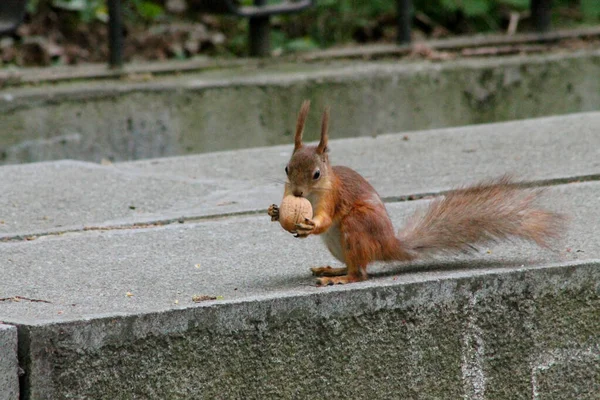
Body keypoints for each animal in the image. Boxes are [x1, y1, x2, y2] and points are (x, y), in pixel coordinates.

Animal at [270, 101, 564, 286]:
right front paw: (275, 211)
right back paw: (332, 269)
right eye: (286, 168)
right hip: (338, 244)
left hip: (357, 225)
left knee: (360, 273)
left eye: (317, 174)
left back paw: (339, 278)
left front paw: (309, 224)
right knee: (358, 266)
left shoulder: (332, 198)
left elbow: (325, 219)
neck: (311, 195)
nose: (297, 192)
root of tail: (388, 244)